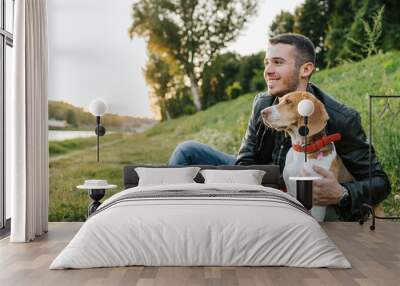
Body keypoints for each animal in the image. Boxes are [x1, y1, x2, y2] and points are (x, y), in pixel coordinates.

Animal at [262, 91, 354, 221]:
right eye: (280, 101)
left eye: (288, 102)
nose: (262, 113)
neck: (301, 151)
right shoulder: (291, 192)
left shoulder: (317, 203)